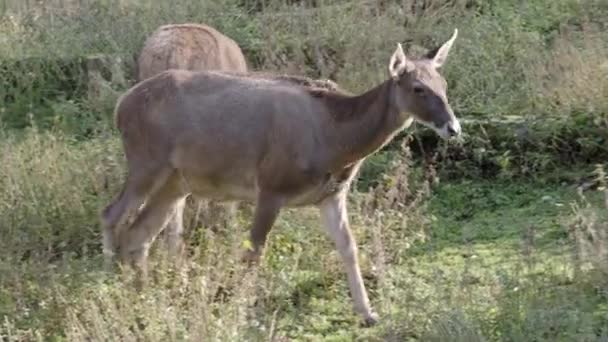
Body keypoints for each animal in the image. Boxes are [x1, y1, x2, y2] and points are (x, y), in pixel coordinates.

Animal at [101, 28, 460, 324]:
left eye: (444, 85)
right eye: (418, 88)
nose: (453, 128)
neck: (334, 140)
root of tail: (120, 107)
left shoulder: (331, 194)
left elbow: (349, 246)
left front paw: (368, 312)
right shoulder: (271, 185)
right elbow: (253, 253)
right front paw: (240, 313)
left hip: (177, 181)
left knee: (139, 233)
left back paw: (147, 295)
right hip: (146, 161)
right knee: (112, 214)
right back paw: (115, 282)